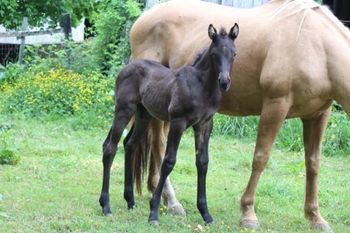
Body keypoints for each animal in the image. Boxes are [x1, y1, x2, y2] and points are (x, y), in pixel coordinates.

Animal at [100, 23, 239, 224]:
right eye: (214, 54)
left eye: (234, 53)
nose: (224, 82)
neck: (202, 86)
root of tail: (127, 67)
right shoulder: (178, 122)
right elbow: (168, 161)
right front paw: (154, 212)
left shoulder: (204, 124)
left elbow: (203, 162)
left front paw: (206, 213)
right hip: (124, 109)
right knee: (110, 148)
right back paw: (106, 205)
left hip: (144, 115)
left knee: (130, 145)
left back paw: (130, 201)